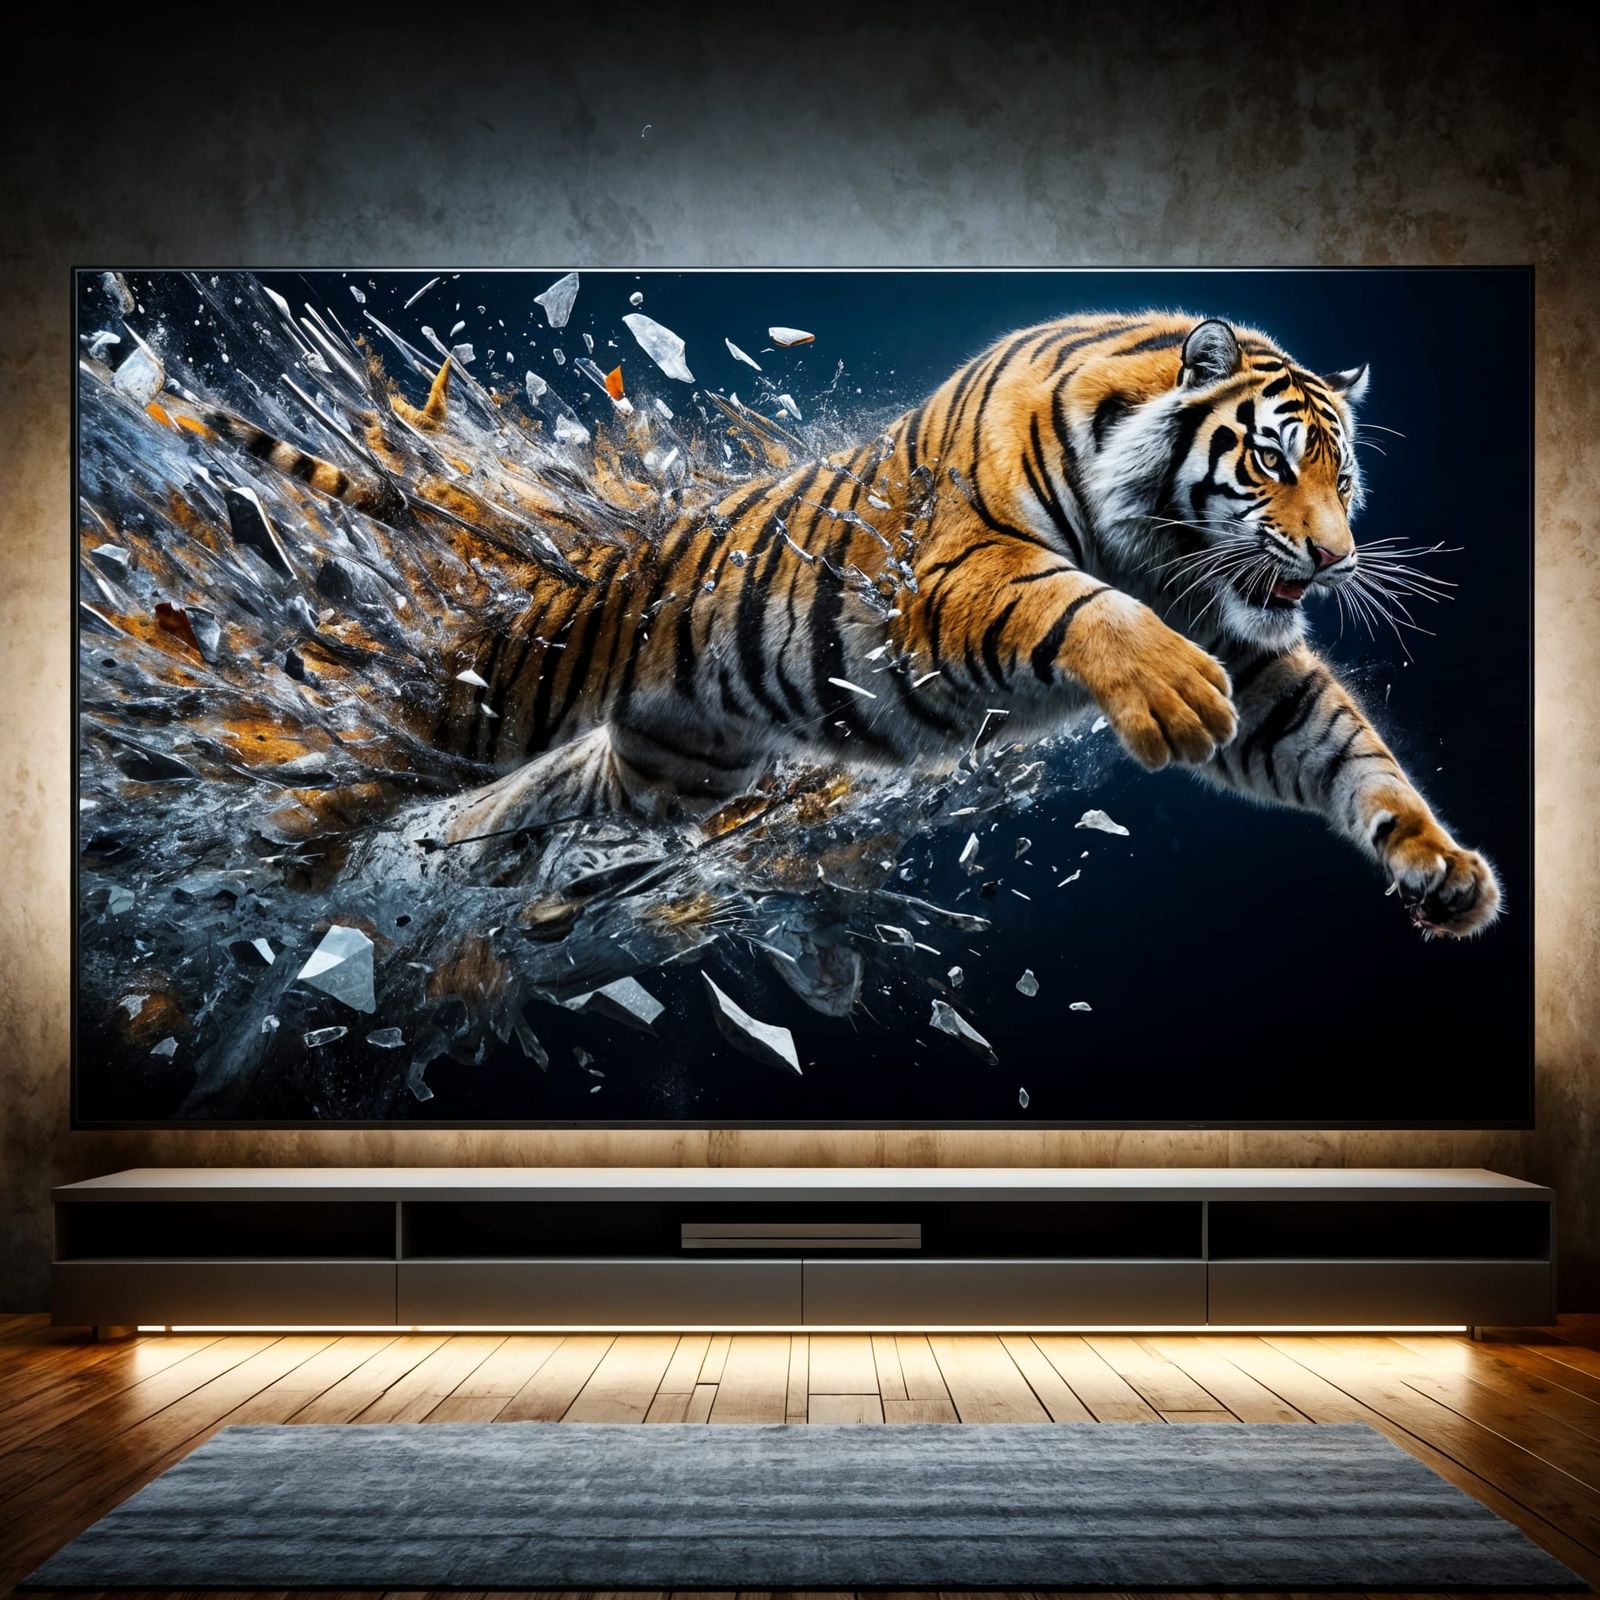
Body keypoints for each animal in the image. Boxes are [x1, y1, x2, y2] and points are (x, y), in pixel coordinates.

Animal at [198, 308, 1500, 939]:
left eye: (1343, 479)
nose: (1333, 558)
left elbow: (1339, 746)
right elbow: (1075, 604)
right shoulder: (956, 574)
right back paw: (296, 850)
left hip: (678, 768)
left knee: (554, 792)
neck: (1165, 546)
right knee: (386, 752)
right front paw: (1169, 697)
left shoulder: (1244, 642)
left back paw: (472, 857)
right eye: (1273, 462)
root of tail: (597, 559)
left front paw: (1438, 866)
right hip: (496, 696)